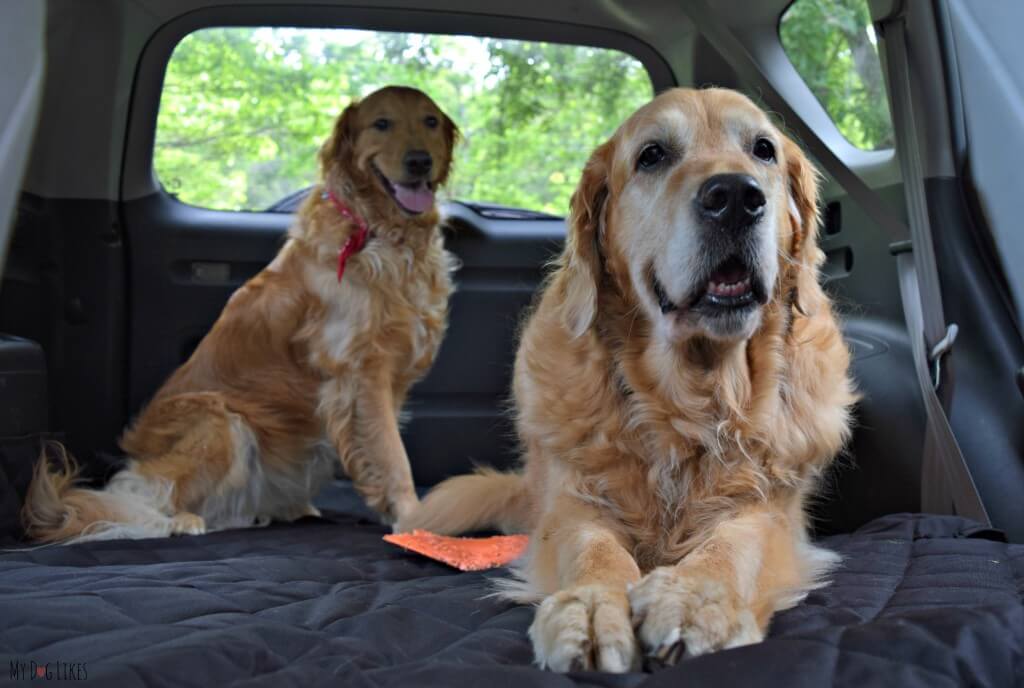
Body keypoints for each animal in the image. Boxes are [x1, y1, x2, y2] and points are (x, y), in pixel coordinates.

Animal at [24, 84, 460, 544]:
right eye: (382, 123)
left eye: (430, 121)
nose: (419, 161)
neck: (384, 234)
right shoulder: (361, 372)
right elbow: (392, 454)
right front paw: (416, 518)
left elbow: (378, 452)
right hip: (221, 420)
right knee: (143, 493)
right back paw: (178, 520)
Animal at [399, 86, 856, 671]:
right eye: (652, 155)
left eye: (763, 150)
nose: (735, 196)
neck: (690, 401)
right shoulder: (572, 505)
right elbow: (593, 549)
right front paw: (593, 606)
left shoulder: (770, 512)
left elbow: (732, 548)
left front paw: (696, 598)